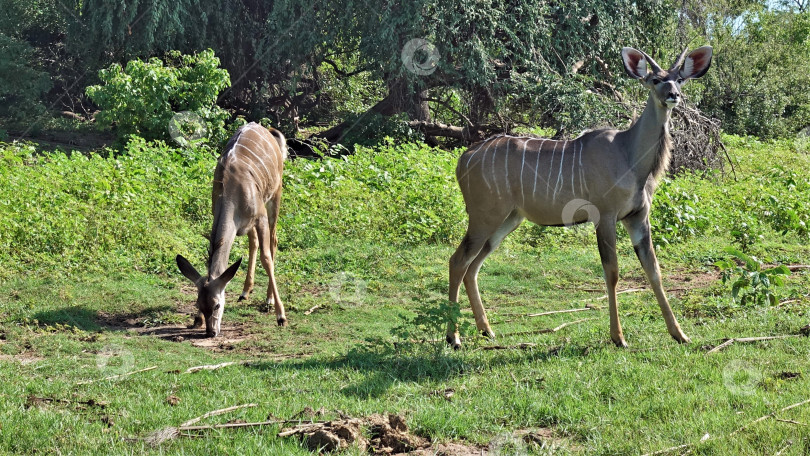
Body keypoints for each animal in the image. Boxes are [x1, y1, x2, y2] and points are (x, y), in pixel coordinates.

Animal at [176, 123, 288, 336]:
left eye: (217, 305)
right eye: (198, 305)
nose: (211, 332)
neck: (232, 191)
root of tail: (268, 130)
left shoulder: (260, 216)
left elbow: (266, 258)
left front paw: (281, 316)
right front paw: (197, 320)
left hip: (275, 197)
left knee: (274, 241)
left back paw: (268, 299)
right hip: (249, 224)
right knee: (254, 243)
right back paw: (245, 292)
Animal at [448, 46, 712, 348]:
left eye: (679, 79)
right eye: (655, 80)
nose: (673, 96)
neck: (629, 154)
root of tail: (464, 158)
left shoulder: (637, 218)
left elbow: (653, 269)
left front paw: (679, 334)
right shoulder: (606, 217)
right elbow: (612, 272)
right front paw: (618, 338)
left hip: (507, 220)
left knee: (472, 267)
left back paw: (486, 330)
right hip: (484, 217)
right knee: (458, 261)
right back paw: (453, 337)